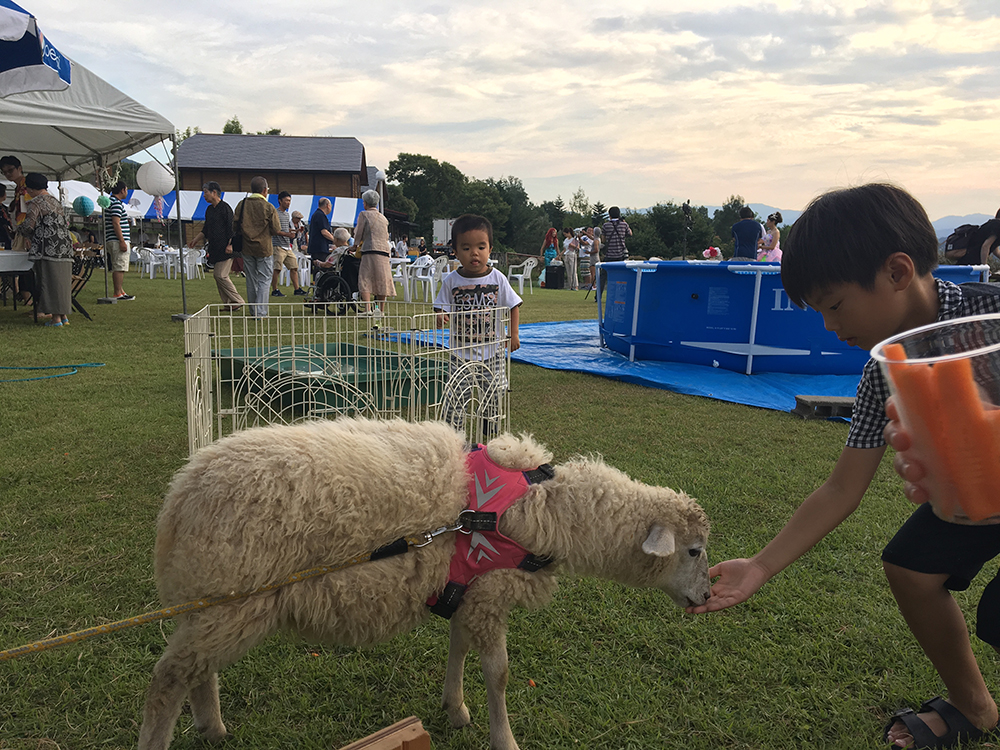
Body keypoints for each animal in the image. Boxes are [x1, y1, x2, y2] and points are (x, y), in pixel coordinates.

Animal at [139, 420, 712, 750]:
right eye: (693, 550)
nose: (707, 597)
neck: (546, 508)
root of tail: (180, 493)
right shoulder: (491, 595)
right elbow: (500, 675)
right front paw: (504, 739)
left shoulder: (470, 591)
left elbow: (458, 647)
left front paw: (455, 709)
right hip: (232, 597)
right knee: (167, 681)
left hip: (212, 600)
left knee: (196, 671)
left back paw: (212, 726)